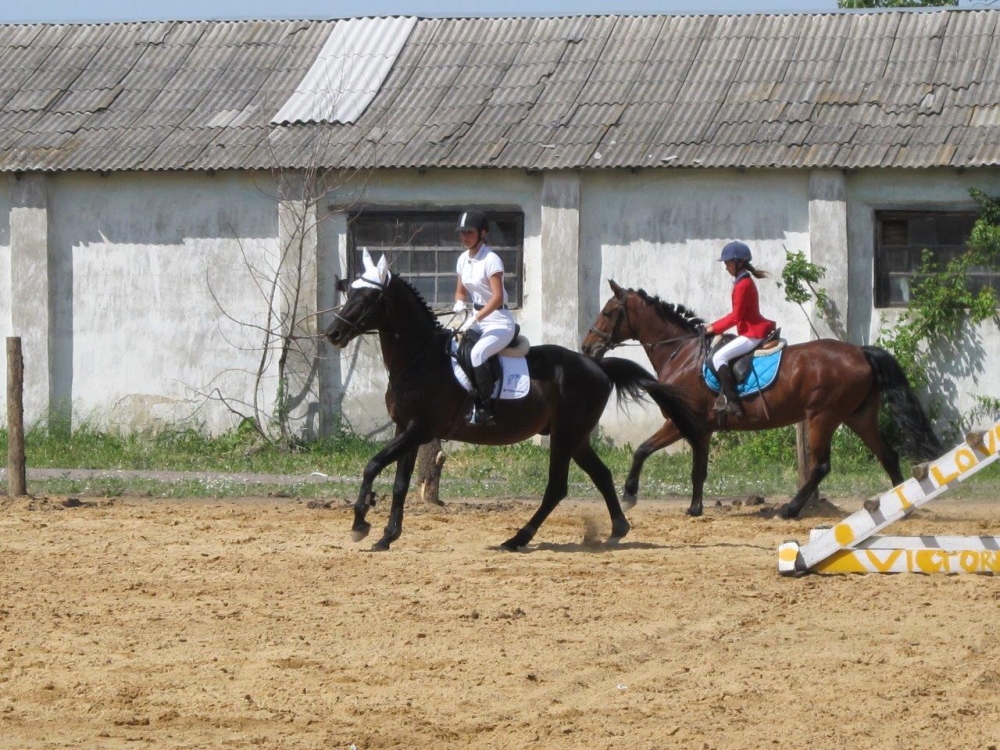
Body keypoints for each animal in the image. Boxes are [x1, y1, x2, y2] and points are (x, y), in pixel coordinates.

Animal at [326, 254, 696, 552]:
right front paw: (387, 536)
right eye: (349, 292)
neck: (419, 359)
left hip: (564, 436)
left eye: (369, 297)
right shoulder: (407, 429)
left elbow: (372, 465)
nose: (333, 334)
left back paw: (518, 539)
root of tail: (597, 366)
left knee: (557, 488)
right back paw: (617, 529)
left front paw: (361, 523)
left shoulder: (420, 429)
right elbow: (400, 484)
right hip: (576, 437)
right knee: (601, 475)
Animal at [584, 280, 940, 520]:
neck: (681, 352)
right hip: (859, 415)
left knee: (821, 465)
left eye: (609, 312)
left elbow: (644, 450)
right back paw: (902, 505)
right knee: (888, 455)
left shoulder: (681, 421)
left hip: (822, 417)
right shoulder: (699, 428)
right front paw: (695, 507)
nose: (587, 347)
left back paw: (790, 510)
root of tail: (860, 352)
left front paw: (630, 495)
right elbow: (697, 469)